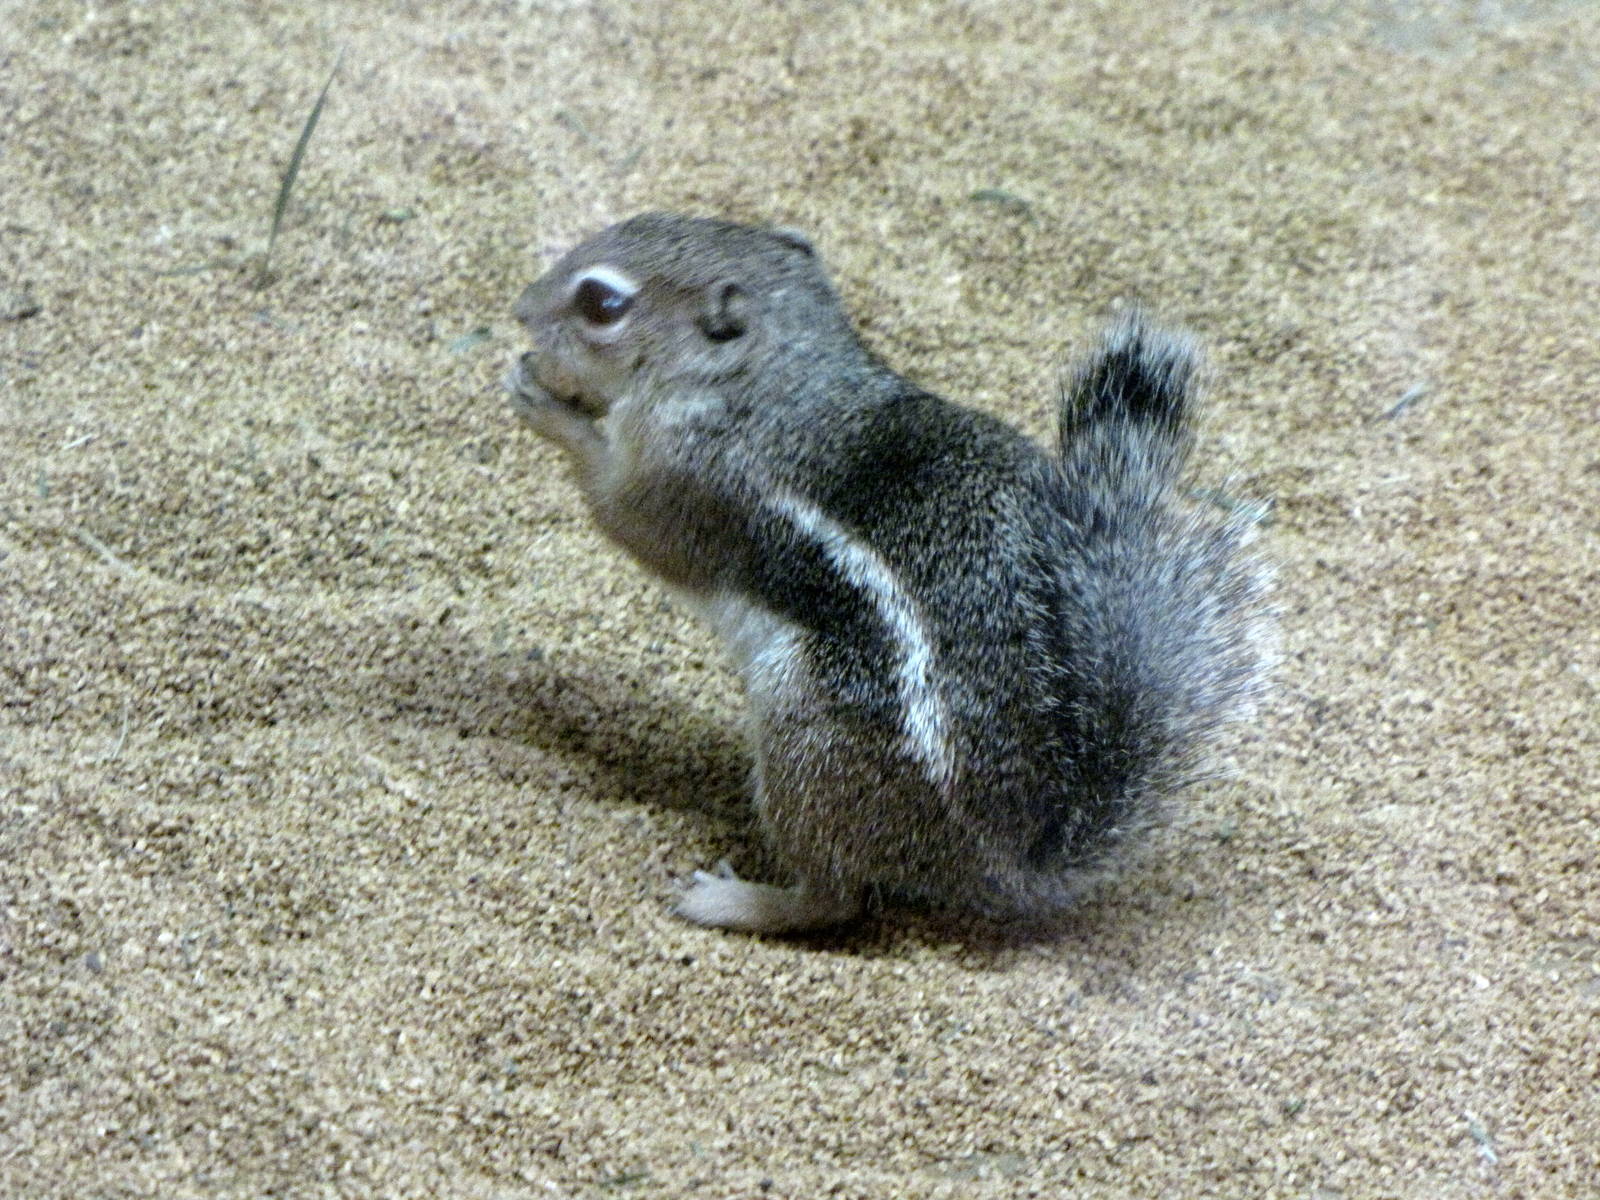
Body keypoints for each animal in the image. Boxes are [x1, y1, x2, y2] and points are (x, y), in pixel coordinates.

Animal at [505, 213, 1273, 934]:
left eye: (602, 303)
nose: (519, 309)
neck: (764, 380)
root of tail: (1001, 864)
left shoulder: (688, 484)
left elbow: (626, 517)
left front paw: (545, 405)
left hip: (807, 734)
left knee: (834, 899)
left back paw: (733, 901)